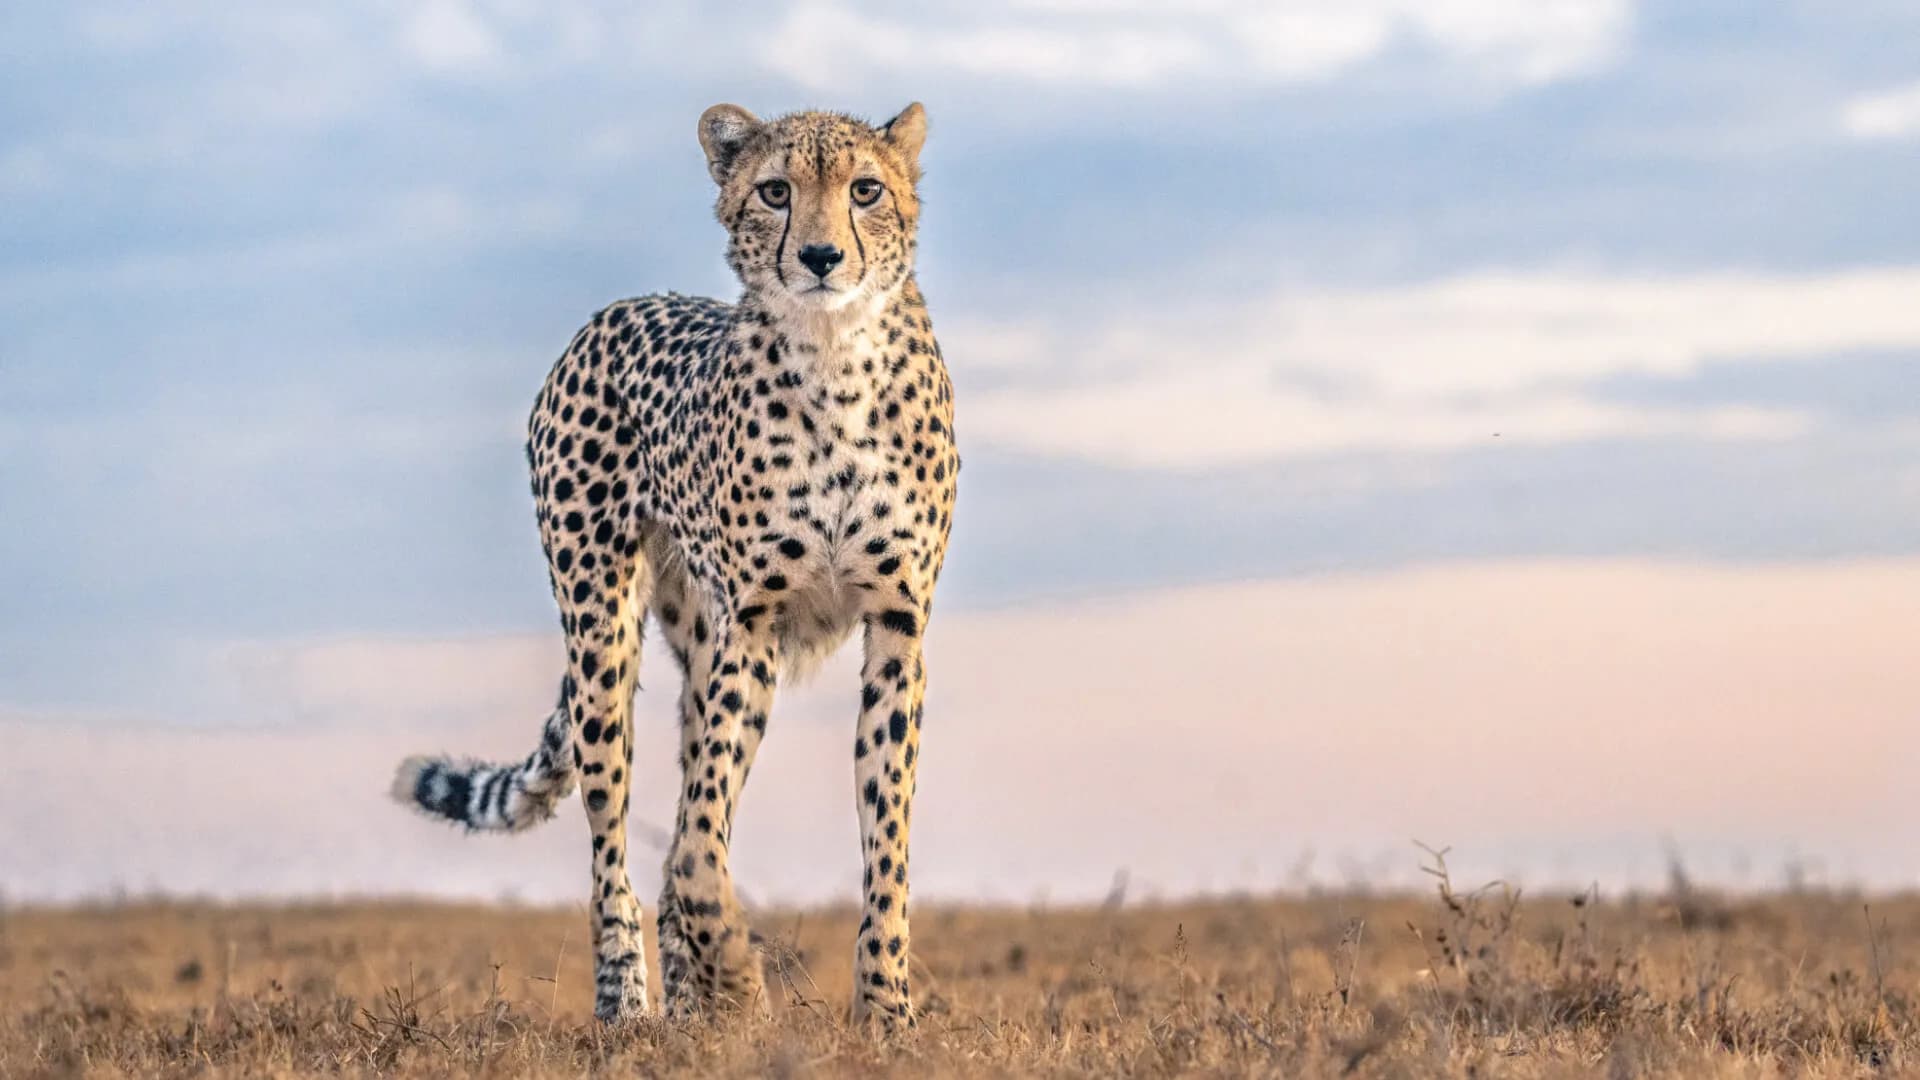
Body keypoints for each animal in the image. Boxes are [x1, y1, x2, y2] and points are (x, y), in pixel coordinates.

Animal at [391, 102, 957, 1033]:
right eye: (776, 191)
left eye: (866, 190)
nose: (821, 257)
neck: (835, 359)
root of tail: (620, 307)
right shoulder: (750, 625)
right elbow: (694, 843)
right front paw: (740, 978)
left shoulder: (897, 626)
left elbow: (886, 838)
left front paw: (885, 1009)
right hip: (602, 639)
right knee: (614, 842)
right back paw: (629, 1001)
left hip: (695, 648)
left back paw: (693, 1007)